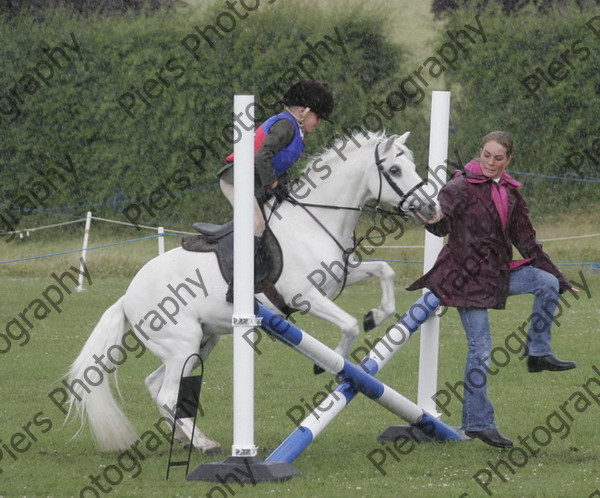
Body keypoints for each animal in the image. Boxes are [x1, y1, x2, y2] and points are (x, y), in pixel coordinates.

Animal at [68, 131, 440, 456]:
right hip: (182, 343)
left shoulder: (339, 278)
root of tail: (127, 297)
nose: (431, 208)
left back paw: (192, 440)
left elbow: (385, 271)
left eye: (412, 164)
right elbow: (348, 325)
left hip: (200, 344)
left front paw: (375, 316)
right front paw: (330, 363)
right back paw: (204, 444)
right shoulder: (305, 296)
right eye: (395, 170)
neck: (315, 221)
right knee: (167, 394)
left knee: (155, 385)